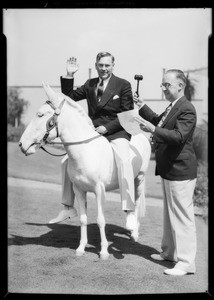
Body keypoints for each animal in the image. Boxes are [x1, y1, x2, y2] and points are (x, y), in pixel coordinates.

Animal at [19, 83, 151, 258]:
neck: (86, 151)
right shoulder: (79, 189)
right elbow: (83, 219)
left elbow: (101, 220)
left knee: (135, 204)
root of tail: (142, 137)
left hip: (139, 179)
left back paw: (134, 231)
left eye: (40, 115)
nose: (21, 144)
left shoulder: (99, 190)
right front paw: (81, 248)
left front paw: (104, 251)